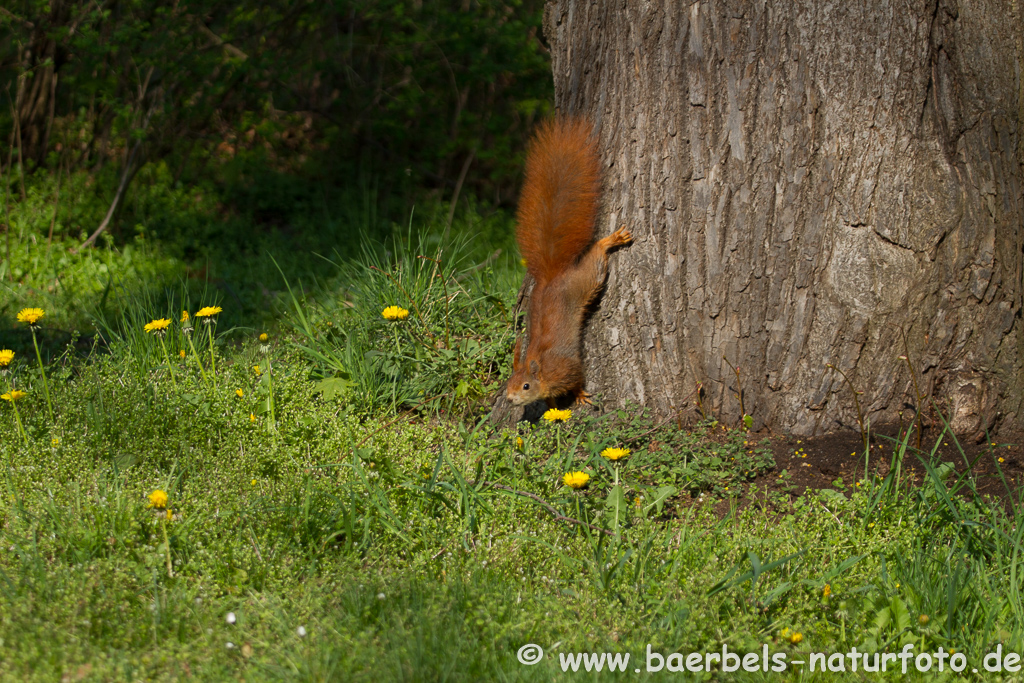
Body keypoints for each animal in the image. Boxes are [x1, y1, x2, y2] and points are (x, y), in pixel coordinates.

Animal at [505, 118, 630, 409]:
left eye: (525, 386)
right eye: (508, 383)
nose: (508, 398)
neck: (543, 370)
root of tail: (551, 276)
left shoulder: (568, 368)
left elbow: (578, 379)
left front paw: (580, 394)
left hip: (584, 281)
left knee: (595, 259)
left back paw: (609, 241)